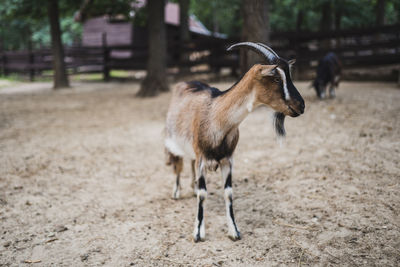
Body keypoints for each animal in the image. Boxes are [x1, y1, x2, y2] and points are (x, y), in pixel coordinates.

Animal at [164, 42, 304, 243]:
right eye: (277, 79)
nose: (301, 105)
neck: (216, 116)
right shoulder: (202, 158)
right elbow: (203, 194)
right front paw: (198, 233)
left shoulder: (228, 159)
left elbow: (228, 193)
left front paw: (234, 231)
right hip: (173, 141)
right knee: (178, 165)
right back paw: (176, 192)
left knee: (189, 164)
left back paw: (192, 187)